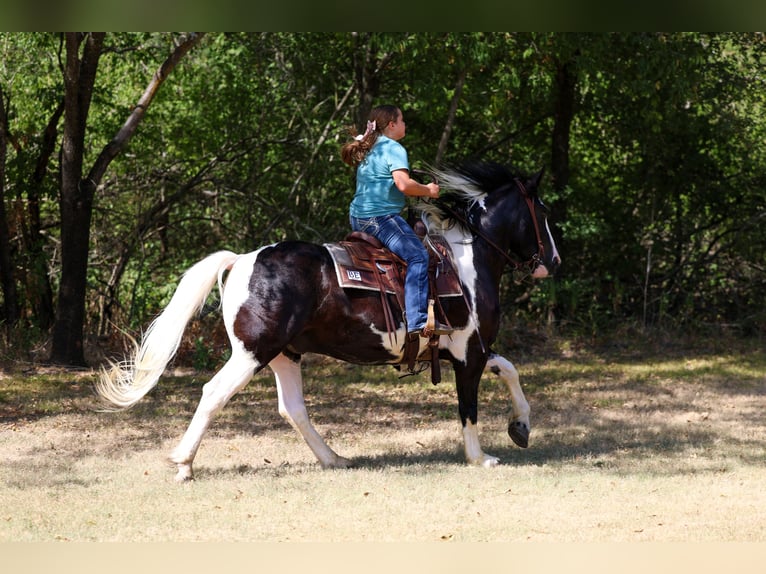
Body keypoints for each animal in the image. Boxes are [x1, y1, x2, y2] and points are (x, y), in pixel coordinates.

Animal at [96, 161, 561, 481]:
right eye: (542, 212)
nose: (554, 261)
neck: (467, 261)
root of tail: (242, 259)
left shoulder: (473, 348)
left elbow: (510, 370)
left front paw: (520, 427)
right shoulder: (468, 352)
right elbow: (469, 407)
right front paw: (480, 457)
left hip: (284, 354)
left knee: (293, 409)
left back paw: (333, 458)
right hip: (252, 353)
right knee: (214, 394)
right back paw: (184, 464)